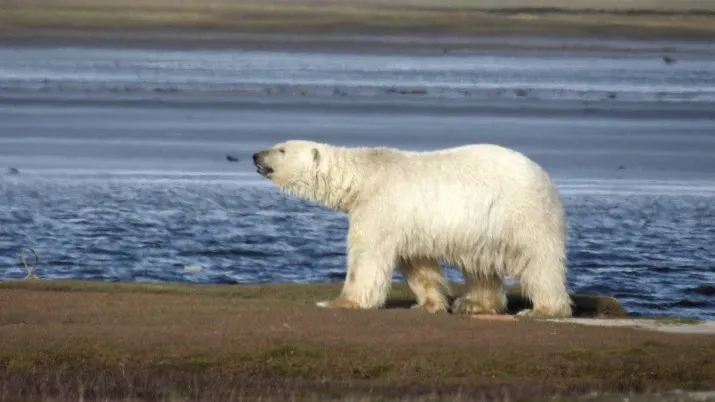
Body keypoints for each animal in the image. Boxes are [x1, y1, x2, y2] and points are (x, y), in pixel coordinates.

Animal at [255, 141, 572, 318]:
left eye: (281, 148)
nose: (256, 155)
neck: (363, 177)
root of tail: (546, 177)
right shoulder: (407, 223)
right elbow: (418, 264)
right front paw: (428, 304)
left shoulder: (380, 206)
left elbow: (366, 256)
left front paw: (339, 302)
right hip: (483, 228)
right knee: (480, 265)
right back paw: (474, 304)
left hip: (523, 214)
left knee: (538, 261)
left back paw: (544, 308)